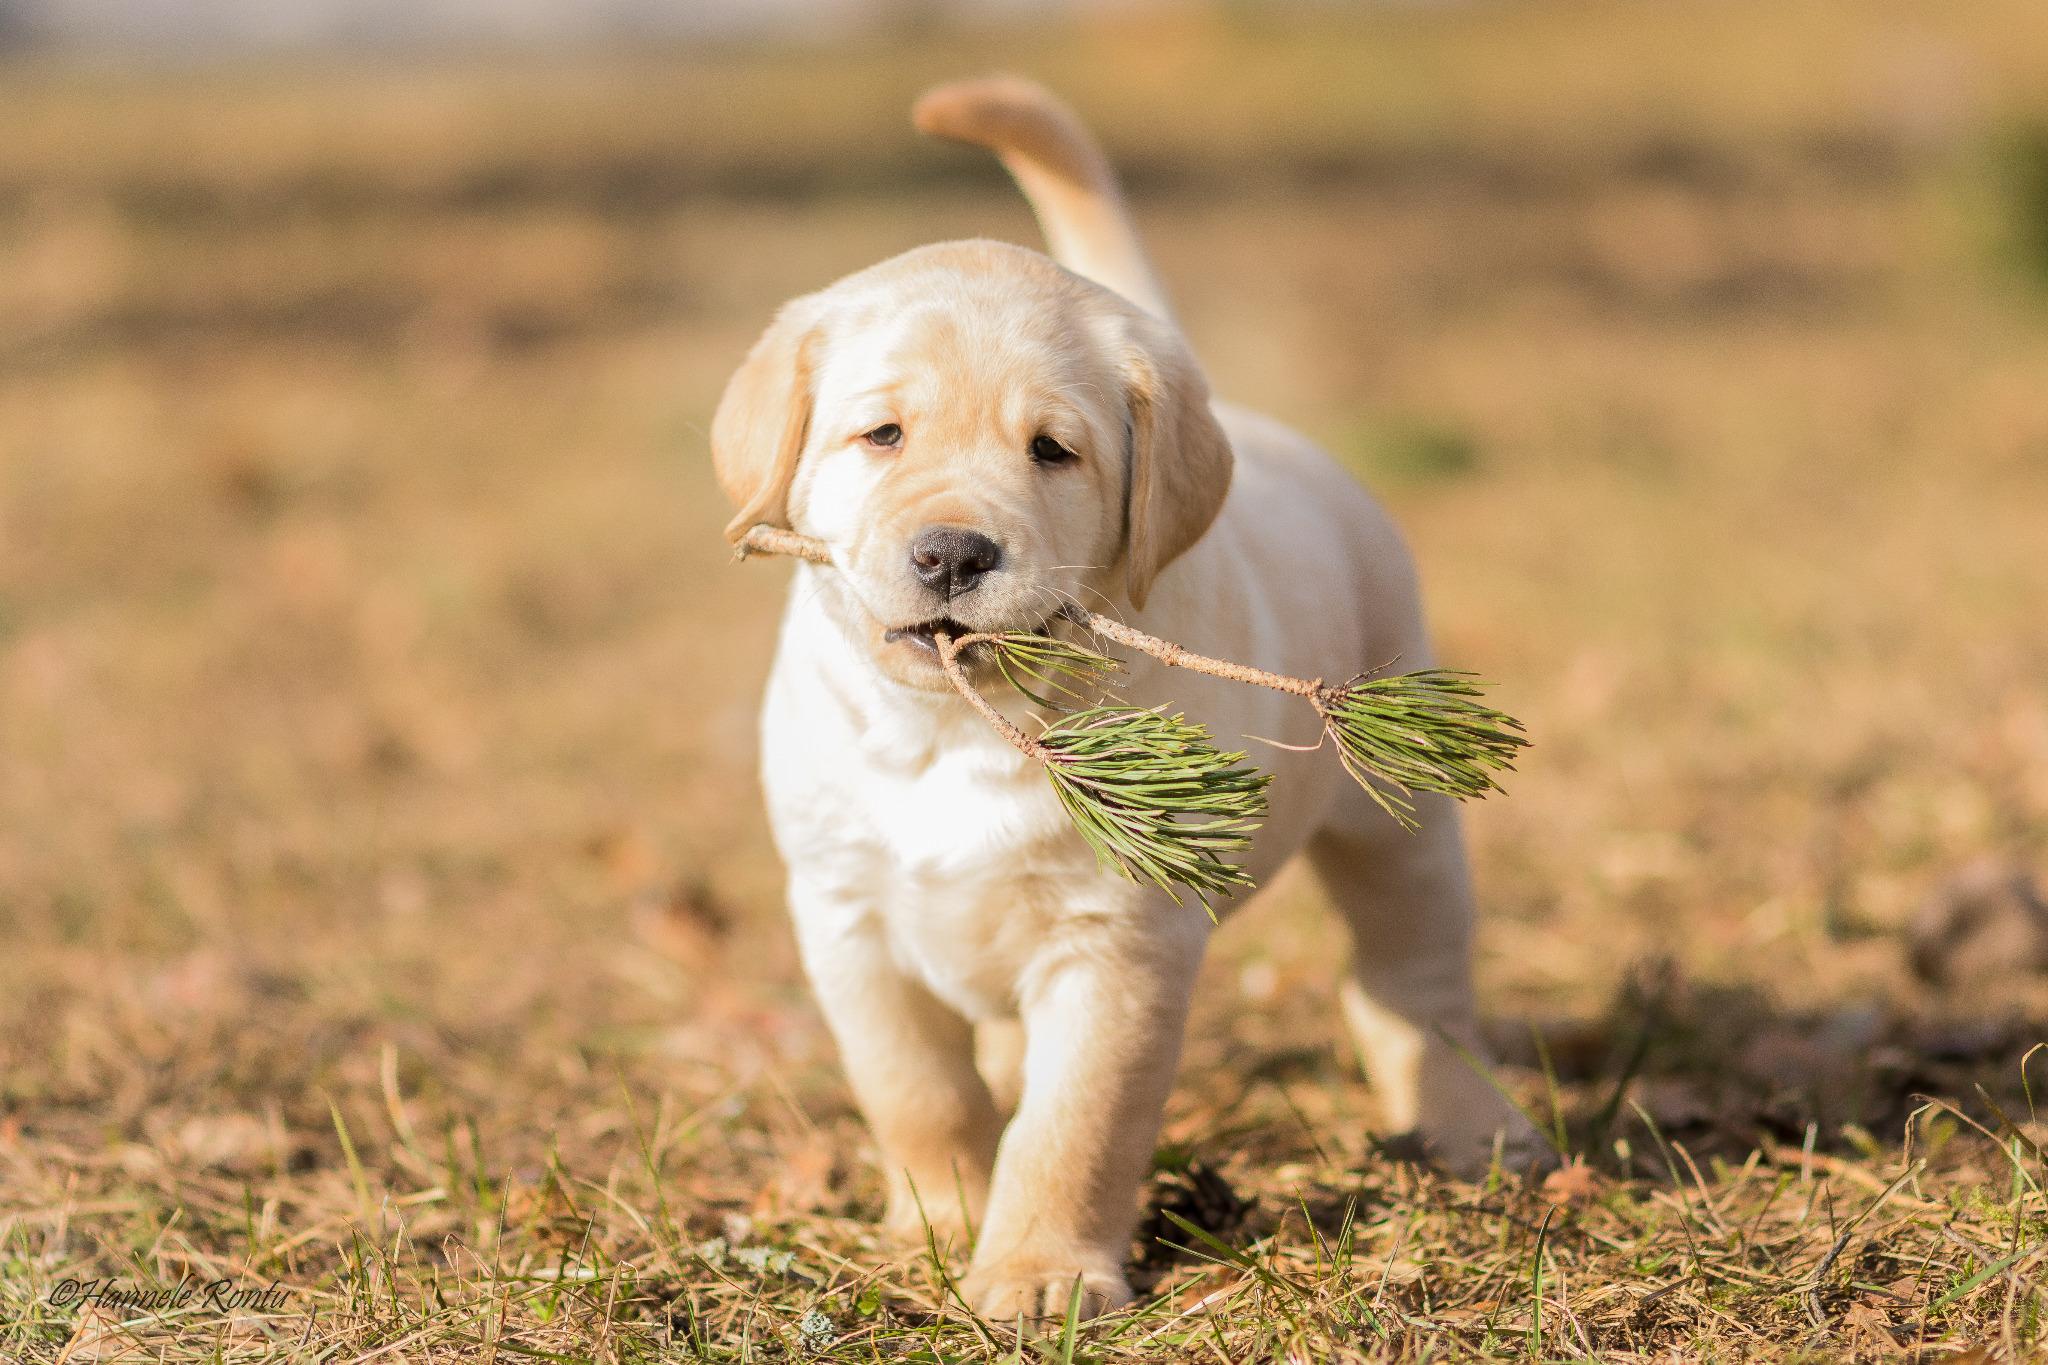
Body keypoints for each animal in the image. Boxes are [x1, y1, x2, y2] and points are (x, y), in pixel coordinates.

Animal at [712, 77, 1531, 1326]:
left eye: (1052, 452)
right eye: (881, 434)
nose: (951, 553)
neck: (957, 730)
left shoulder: (1120, 945)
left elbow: (1074, 1125)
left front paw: (1037, 1273)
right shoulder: (846, 918)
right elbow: (917, 1090)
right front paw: (938, 1220)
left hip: (1395, 827)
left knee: (1411, 984)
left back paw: (1467, 1122)